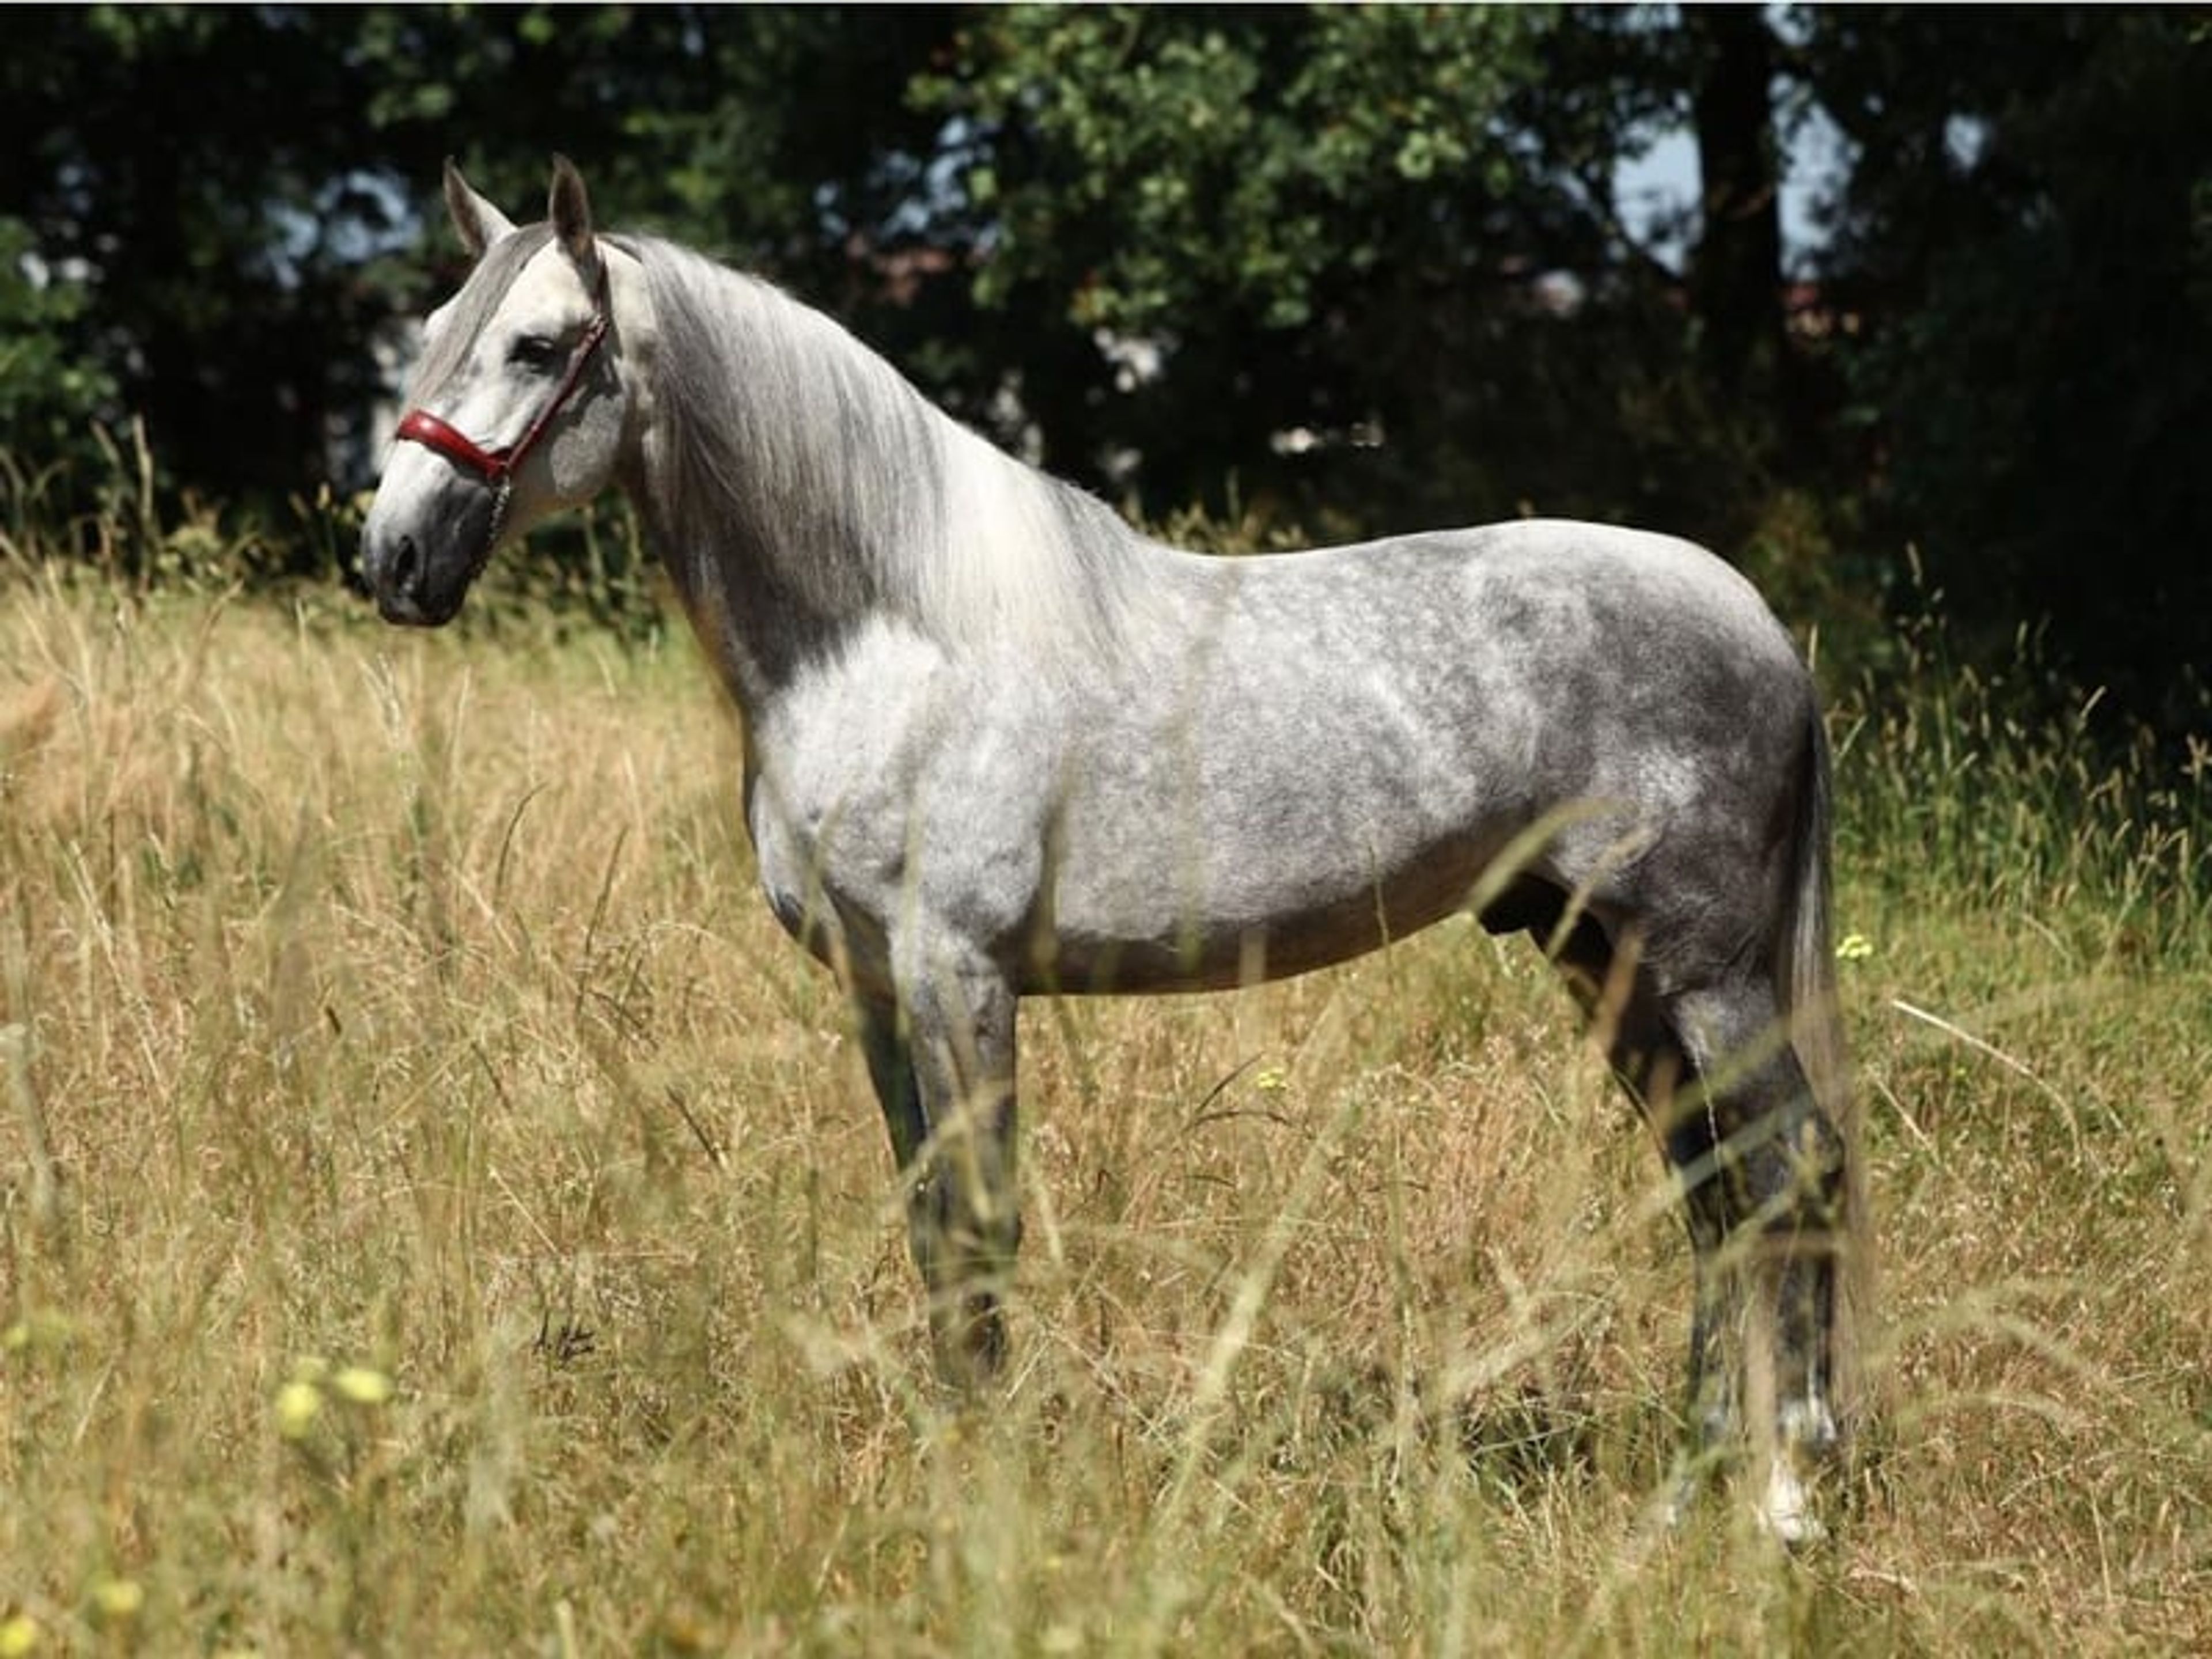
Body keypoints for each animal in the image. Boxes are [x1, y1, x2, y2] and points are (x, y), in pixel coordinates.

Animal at [359, 157, 1868, 1543]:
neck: (894, 637)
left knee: (1789, 1168)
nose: (392, 559)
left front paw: (982, 1489)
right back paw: (1685, 1495)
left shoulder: (958, 977)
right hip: (1601, 957)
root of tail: (1760, 626)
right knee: (1712, 1190)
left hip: (1705, 969)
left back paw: (1788, 1498)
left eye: (540, 345)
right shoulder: (877, 994)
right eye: (433, 323)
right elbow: (929, 1229)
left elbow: (980, 1227)